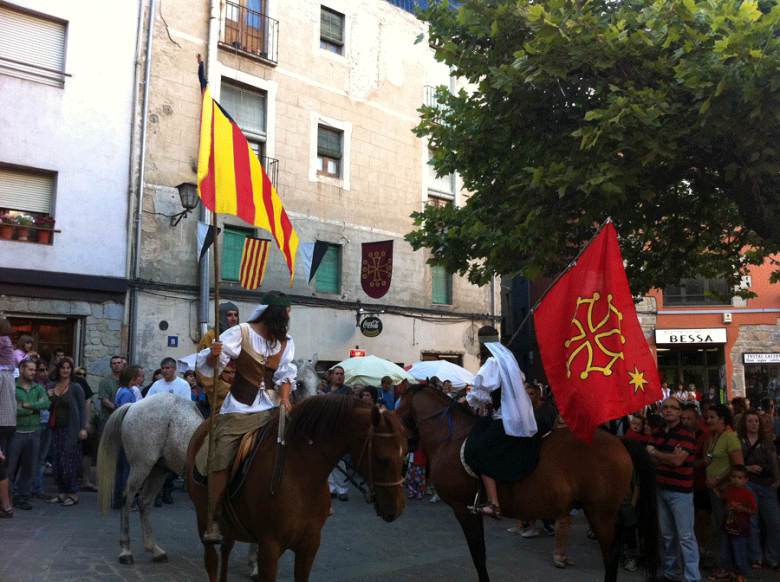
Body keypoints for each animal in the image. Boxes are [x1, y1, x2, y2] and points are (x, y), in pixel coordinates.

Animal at [98, 356, 322, 572]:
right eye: (299, 383)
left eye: (319, 383)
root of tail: (136, 405)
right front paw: (255, 565)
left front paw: (254, 563)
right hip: (141, 465)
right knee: (127, 499)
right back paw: (126, 551)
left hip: (159, 468)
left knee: (145, 502)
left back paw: (155, 550)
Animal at [185, 396, 408, 582]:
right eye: (383, 459)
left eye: (405, 453)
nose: (396, 510)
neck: (301, 476)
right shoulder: (269, 549)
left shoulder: (309, 547)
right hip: (203, 521)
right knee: (212, 560)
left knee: (226, 549)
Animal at [396, 388, 660, 582]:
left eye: (397, 409)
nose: (407, 444)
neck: (450, 437)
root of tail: (619, 440)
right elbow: (480, 553)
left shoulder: (464, 510)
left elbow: (478, 555)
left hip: (600, 514)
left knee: (611, 553)